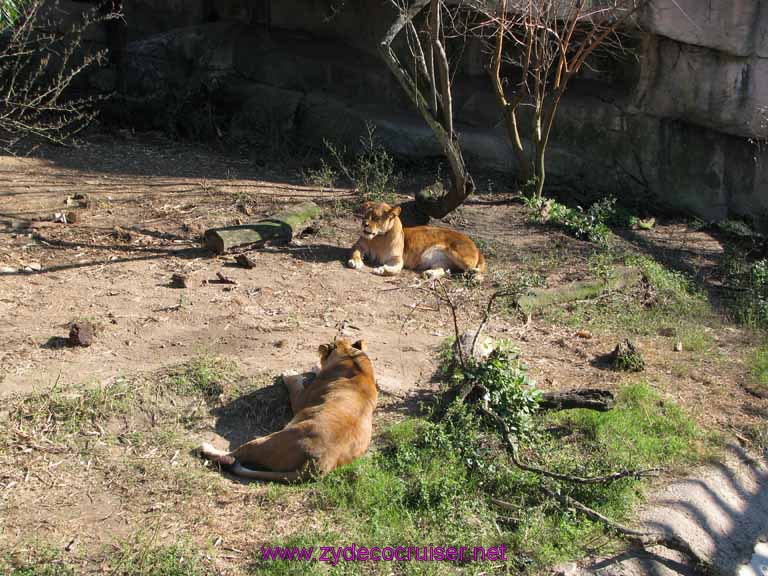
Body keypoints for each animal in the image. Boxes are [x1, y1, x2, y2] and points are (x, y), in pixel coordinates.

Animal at [198, 338, 378, 482]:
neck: (353, 359)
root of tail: (321, 463)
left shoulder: (301, 399)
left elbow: (295, 383)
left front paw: (290, 373)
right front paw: (315, 366)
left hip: (268, 441)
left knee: (235, 455)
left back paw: (206, 448)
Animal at [350, 200, 486, 276]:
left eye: (376, 218)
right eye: (365, 216)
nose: (364, 224)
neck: (378, 238)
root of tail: (476, 246)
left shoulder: (397, 258)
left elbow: (396, 270)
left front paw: (382, 270)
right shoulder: (359, 246)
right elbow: (355, 252)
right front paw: (355, 261)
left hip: (455, 253)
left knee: (474, 269)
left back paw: (474, 275)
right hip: (441, 261)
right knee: (444, 269)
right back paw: (429, 274)